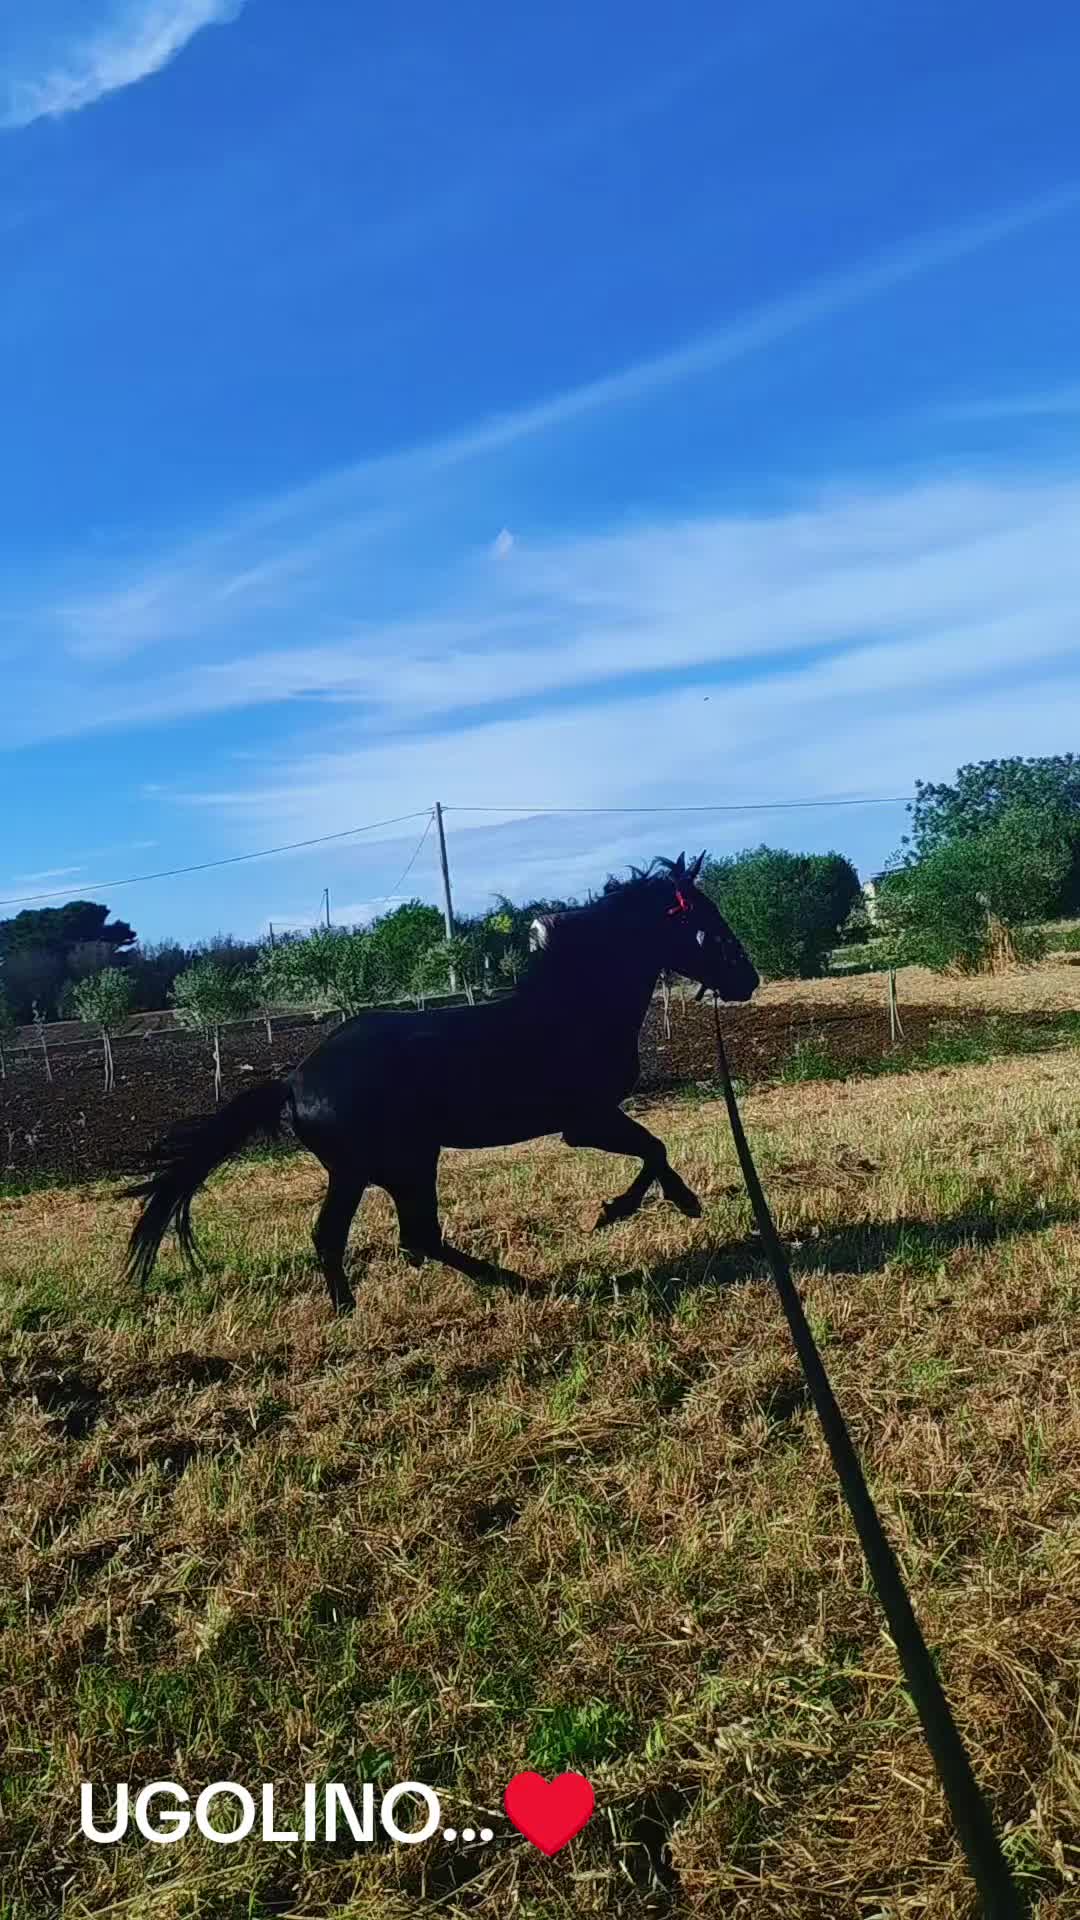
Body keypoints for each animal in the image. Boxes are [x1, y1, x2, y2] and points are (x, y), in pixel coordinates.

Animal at [124, 851, 759, 1311]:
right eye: (703, 919)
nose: (747, 978)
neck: (575, 1007)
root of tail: (294, 1082)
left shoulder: (592, 1121)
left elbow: (656, 1149)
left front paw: (679, 1202)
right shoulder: (586, 1122)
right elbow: (653, 1148)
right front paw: (618, 1211)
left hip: (397, 1166)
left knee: (414, 1237)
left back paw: (509, 1285)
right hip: (382, 1165)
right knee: (356, 1236)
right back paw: (358, 1310)